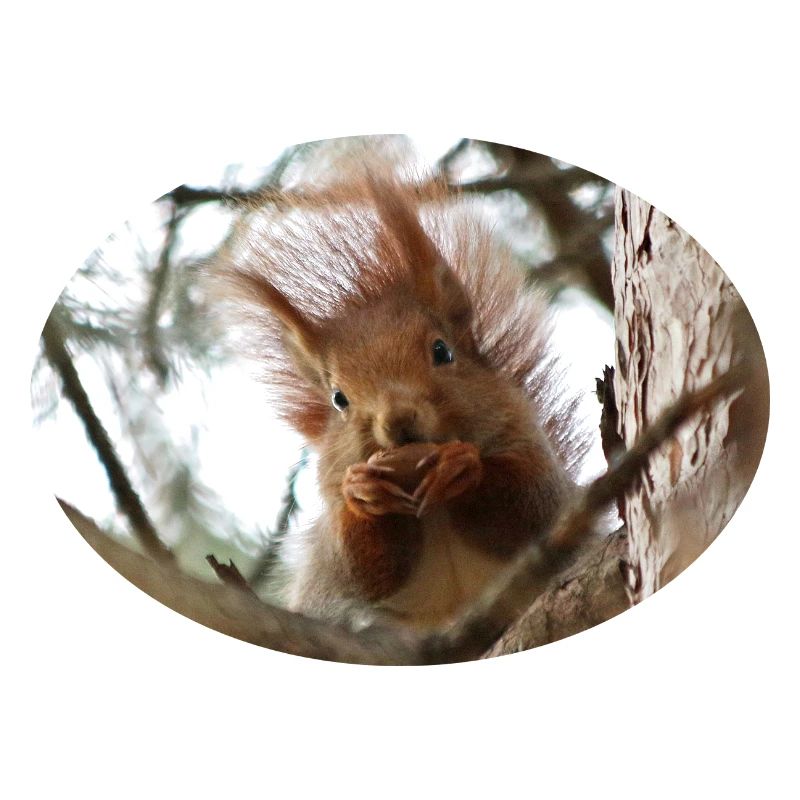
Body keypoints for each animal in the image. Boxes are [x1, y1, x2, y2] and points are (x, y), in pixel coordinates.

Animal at [218, 153, 586, 629]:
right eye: (338, 399)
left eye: (442, 352)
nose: (397, 420)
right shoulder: (334, 545)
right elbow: (358, 568)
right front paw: (362, 491)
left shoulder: (532, 452)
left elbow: (534, 507)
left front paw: (462, 466)